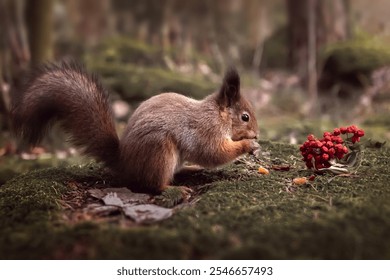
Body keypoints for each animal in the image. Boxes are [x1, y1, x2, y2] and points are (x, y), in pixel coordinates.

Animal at [12, 60, 260, 194]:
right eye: (245, 117)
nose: (257, 134)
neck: (218, 115)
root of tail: (125, 162)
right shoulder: (205, 130)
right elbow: (214, 152)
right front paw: (248, 145)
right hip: (159, 151)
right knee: (153, 184)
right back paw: (173, 189)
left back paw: (190, 169)